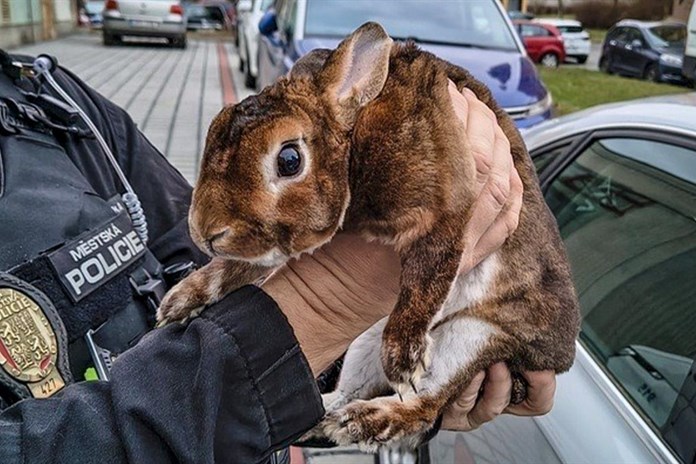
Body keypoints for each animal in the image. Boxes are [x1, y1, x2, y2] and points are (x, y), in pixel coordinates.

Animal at [156, 21, 576, 450]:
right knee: (348, 390)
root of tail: (558, 358)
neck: (353, 140)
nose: (204, 231)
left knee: (423, 405)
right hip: (365, 339)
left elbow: (425, 278)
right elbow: (238, 267)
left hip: (475, 337)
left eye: (289, 159)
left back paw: (366, 419)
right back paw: (328, 421)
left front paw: (403, 361)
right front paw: (180, 302)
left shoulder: (446, 209)